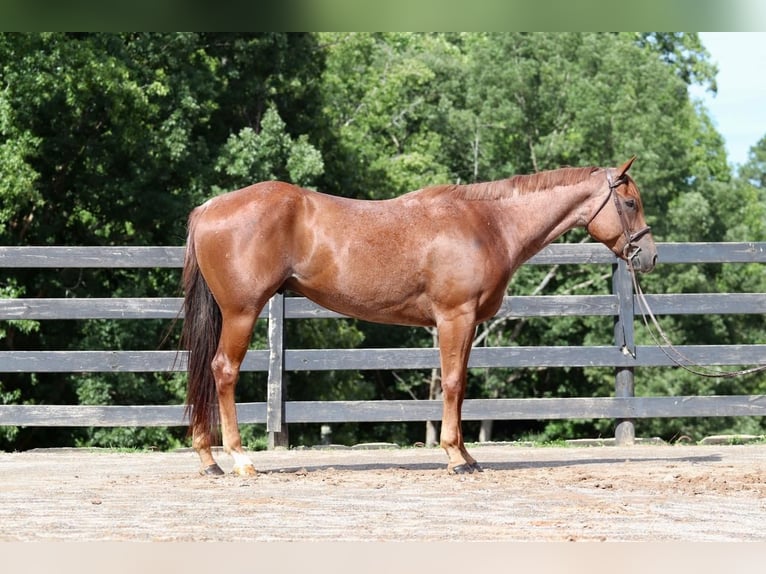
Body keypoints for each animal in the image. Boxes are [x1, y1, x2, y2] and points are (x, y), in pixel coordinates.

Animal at [182, 155, 660, 474]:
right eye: (630, 203)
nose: (650, 256)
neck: (488, 224)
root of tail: (209, 208)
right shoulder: (454, 317)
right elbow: (451, 384)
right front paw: (454, 457)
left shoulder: (466, 324)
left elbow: (459, 387)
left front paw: (466, 454)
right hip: (242, 312)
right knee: (223, 371)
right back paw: (239, 459)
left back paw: (208, 459)